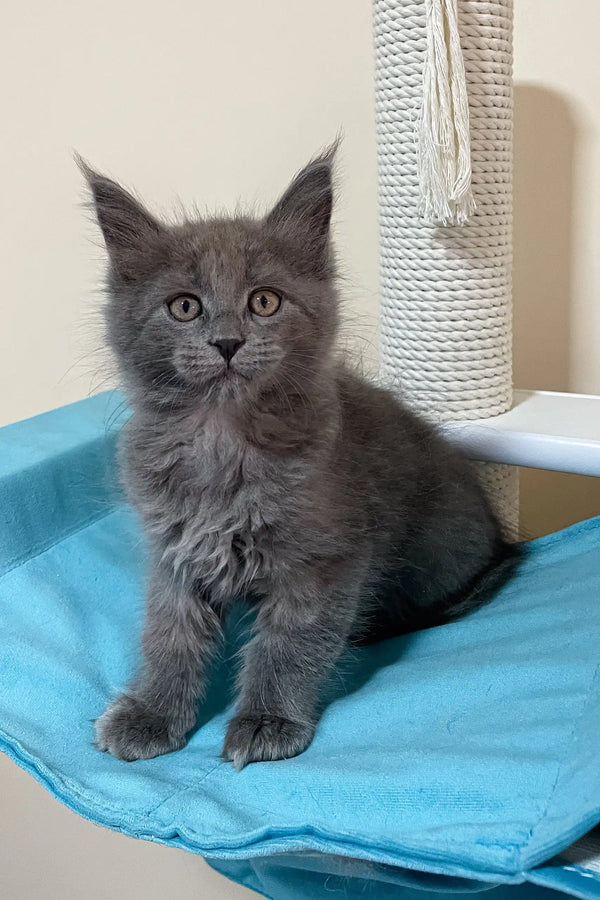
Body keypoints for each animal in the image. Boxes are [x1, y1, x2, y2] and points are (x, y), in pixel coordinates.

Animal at [83, 146, 520, 768]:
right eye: (185, 307)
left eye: (264, 301)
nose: (227, 342)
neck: (223, 444)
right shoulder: (177, 553)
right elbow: (169, 638)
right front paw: (151, 713)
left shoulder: (325, 558)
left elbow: (290, 644)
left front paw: (267, 721)